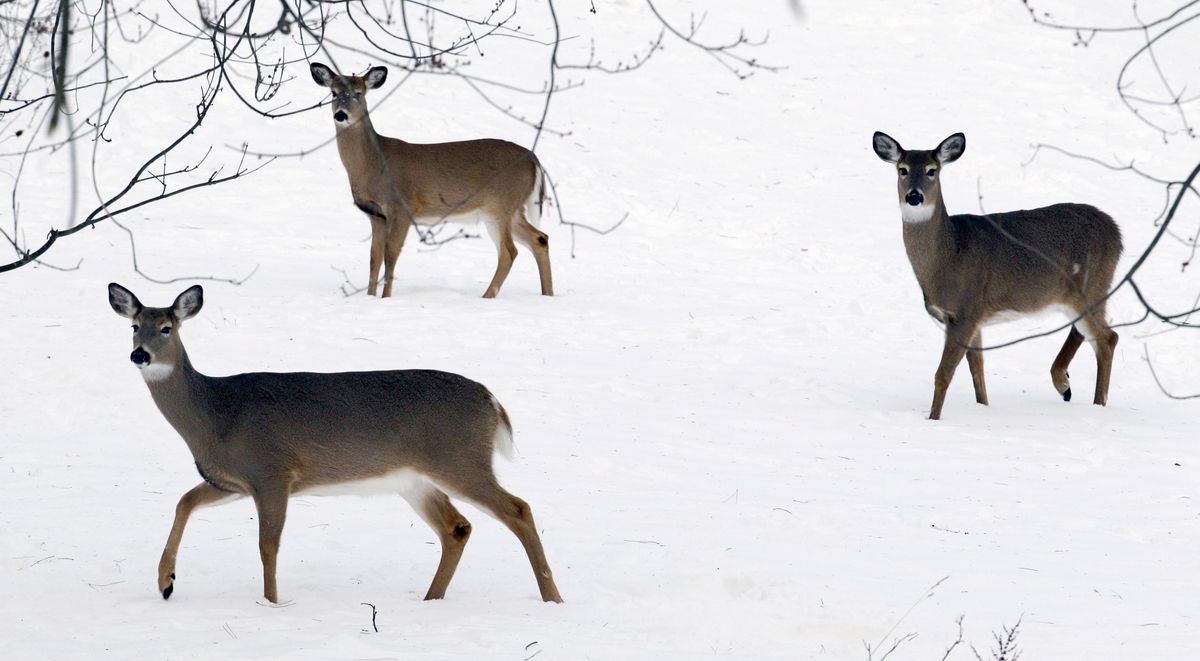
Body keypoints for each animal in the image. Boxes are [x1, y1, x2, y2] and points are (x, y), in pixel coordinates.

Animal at [107, 283, 563, 604]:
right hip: (415, 480)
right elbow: (184, 501)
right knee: (457, 527)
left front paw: (271, 603)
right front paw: (165, 582)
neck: (217, 415)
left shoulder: (272, 470)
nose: (140, 355)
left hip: (460, 459)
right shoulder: (234, 481)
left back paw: (551, 598)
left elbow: (267, 545)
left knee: (518, 509)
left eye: (167, 328)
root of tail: (492, 401)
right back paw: (431, 599)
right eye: (134, 326)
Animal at [309, 62, 554, 299]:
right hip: (511, 209)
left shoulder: (402, 207)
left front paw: (386, 299)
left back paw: (487, 297)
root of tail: (534, 159)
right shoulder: (376, 215)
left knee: (509, 252)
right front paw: (369, 298)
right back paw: (547, 295)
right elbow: (374, 257)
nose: (341, 115)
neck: (374, 164)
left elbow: (391, 255)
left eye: (358, 93)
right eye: (333, 93)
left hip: (500, 205)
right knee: (540, 238)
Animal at [872, 132, 1123, 420]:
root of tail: (1117, 233)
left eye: (931, 170)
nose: (914, 196)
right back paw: (1065, 385)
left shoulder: (965, 311)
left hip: (1092, 285)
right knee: (1087, 332)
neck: (949, 255)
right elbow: (977, 369)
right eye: (902, 170)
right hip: (1079, 295)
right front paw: (983, 407)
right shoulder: (974, 318)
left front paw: (933, 419)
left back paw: (1097, 403)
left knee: (1107, 338)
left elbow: (943, 374)